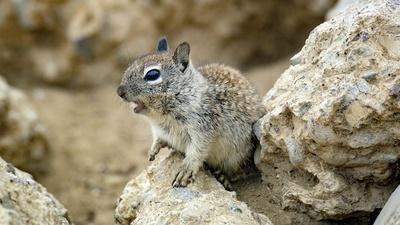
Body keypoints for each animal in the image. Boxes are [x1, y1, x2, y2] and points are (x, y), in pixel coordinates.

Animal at [117, 37, 264, 189]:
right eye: (129, 67)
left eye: (152, 75)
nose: (119, 91)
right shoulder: (161, 131)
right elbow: (159, 139)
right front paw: (153, 149)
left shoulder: (202, 131)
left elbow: (196, 153)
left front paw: (185, 171)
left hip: (239, 155)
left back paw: (224, 178)